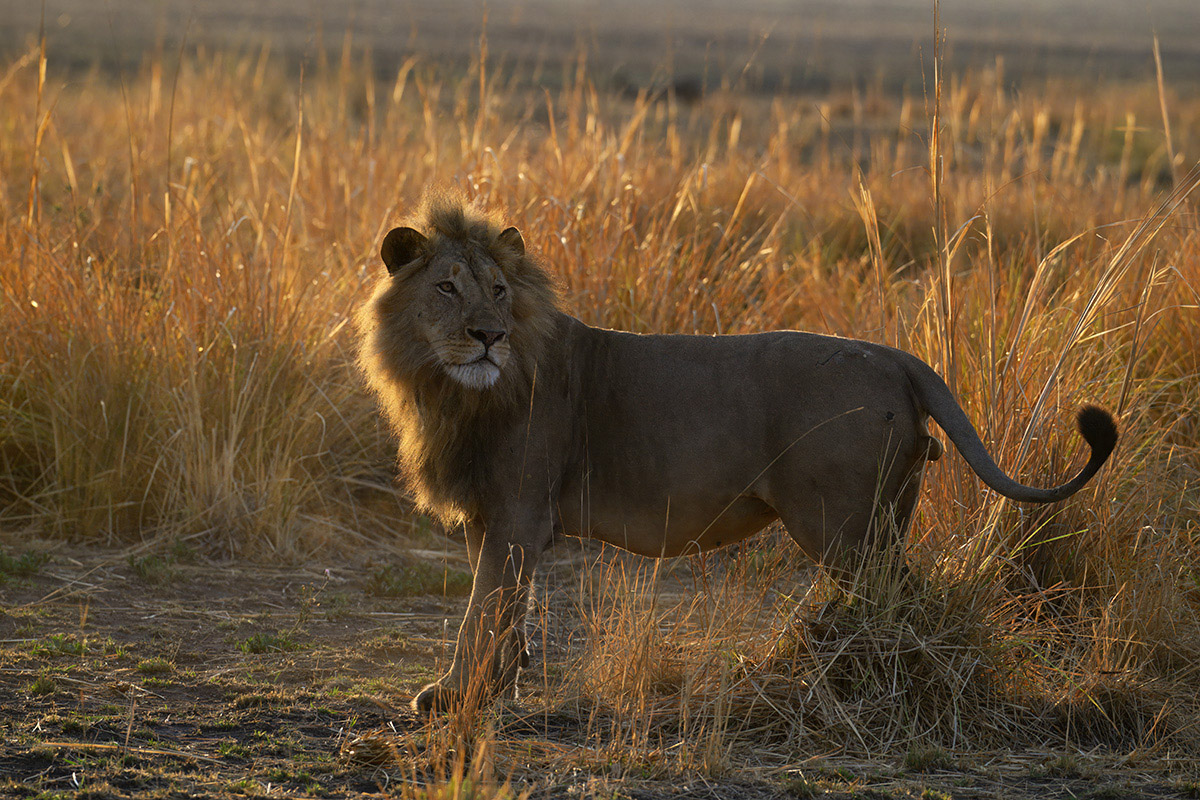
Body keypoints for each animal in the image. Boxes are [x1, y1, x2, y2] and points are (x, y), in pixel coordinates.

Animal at [355, 196, 1113, 710]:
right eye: (446, 287)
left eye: (500, 291)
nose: (488, 335)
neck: (450, 390)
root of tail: (896, 356)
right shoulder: (494, 519)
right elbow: (503, 613)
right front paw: (492, 686)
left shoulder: (517, 516)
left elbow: (481, 612)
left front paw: (452, 697)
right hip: (883, 518)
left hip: (843, 526)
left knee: (900, 602)